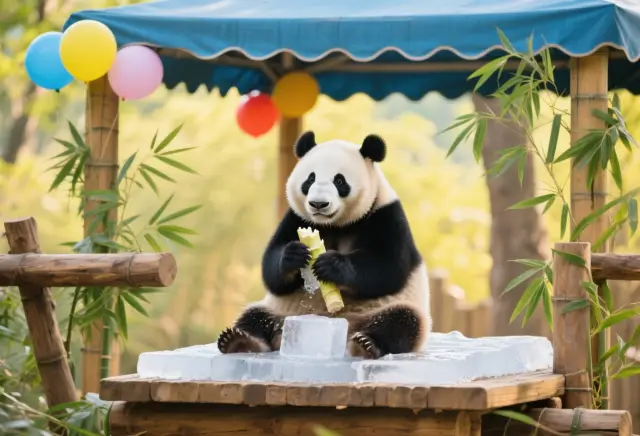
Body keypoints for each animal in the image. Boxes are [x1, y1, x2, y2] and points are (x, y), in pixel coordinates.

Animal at [217, 131, 432, 359]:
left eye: (339, 180)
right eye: (310, 179)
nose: (318, 204)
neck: (336, 224)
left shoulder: (386, 214)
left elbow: (388, 268)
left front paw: (332, 265)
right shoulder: (297, 218)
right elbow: (271, 268)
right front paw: (294, 256)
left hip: (390, 307)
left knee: (402, 321)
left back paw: (366, 344)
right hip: (282, 310)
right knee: (254, 316)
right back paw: (239, 340)